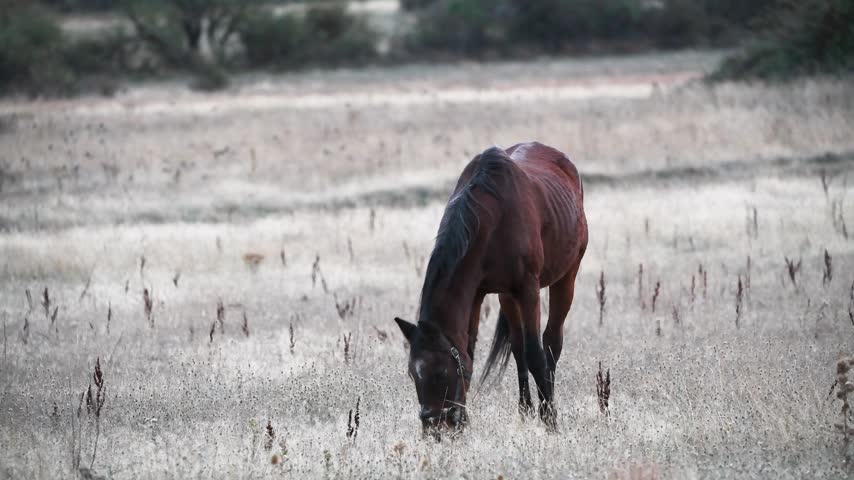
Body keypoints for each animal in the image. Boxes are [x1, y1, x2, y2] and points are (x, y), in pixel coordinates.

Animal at [394, 141, 588, 437]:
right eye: (413, 374)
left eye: (442, 372)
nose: (434, 429)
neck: (490, 220)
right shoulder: (477, 294)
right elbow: (472, 351)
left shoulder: (528, 290)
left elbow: (536, 354)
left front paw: (550, 420)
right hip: (507, 296)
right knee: (518, 348)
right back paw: (525, 410)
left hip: (566, 276)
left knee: (551, 343)